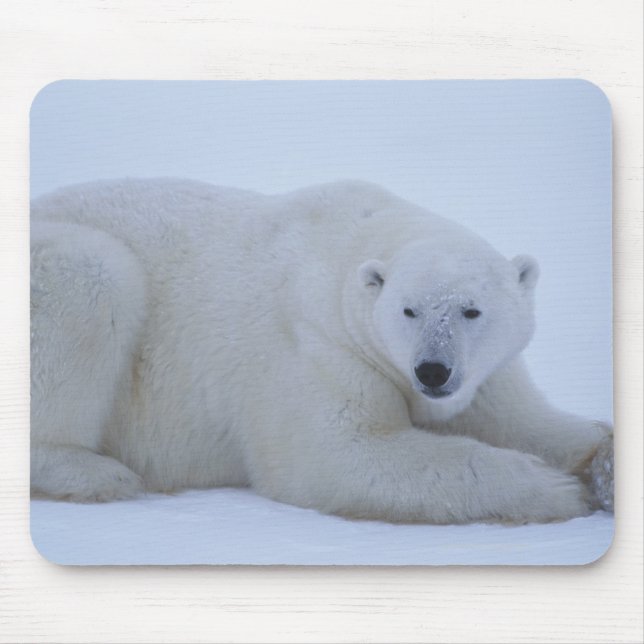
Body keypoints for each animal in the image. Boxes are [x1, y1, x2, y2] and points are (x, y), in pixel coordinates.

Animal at [30, 178, 613, 523]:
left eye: (471, 310)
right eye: (409, 311)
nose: (432, 370)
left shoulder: (487, 374)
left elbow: (529, 422)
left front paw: (602, 464)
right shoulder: (317, 343)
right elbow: (337, 454)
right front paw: (556, 489)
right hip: (63, 269)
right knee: (92, 274)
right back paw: (102, 476)